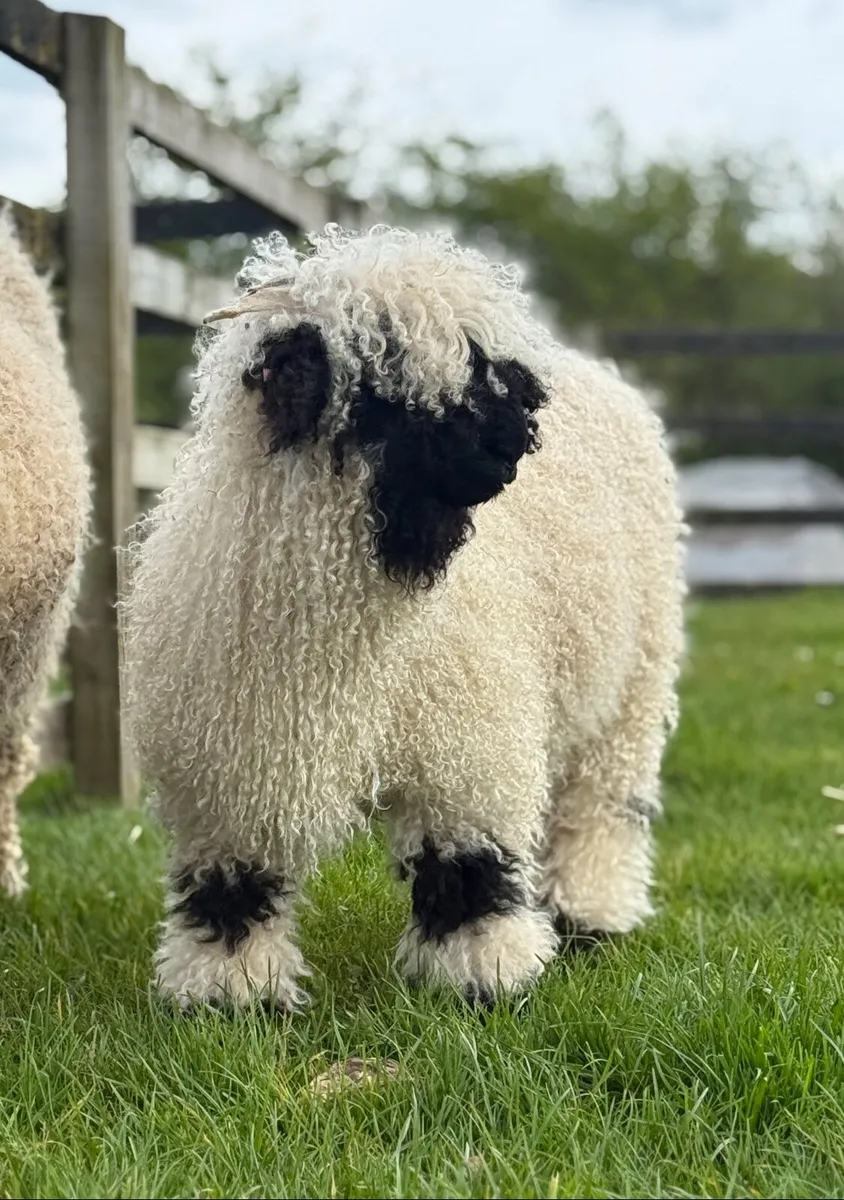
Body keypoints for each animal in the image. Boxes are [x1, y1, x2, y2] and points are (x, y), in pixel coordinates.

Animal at [121, 224, 686, 1010]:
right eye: (388, 390)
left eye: (494, 374)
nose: (512, 443)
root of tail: (598, 369)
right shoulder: (235, 758)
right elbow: (233, 883)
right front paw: (231, 991)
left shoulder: (468, 744)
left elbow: (469, 869)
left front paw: (484, 976)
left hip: (634, 682)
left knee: (602, 804)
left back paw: (589, 915)